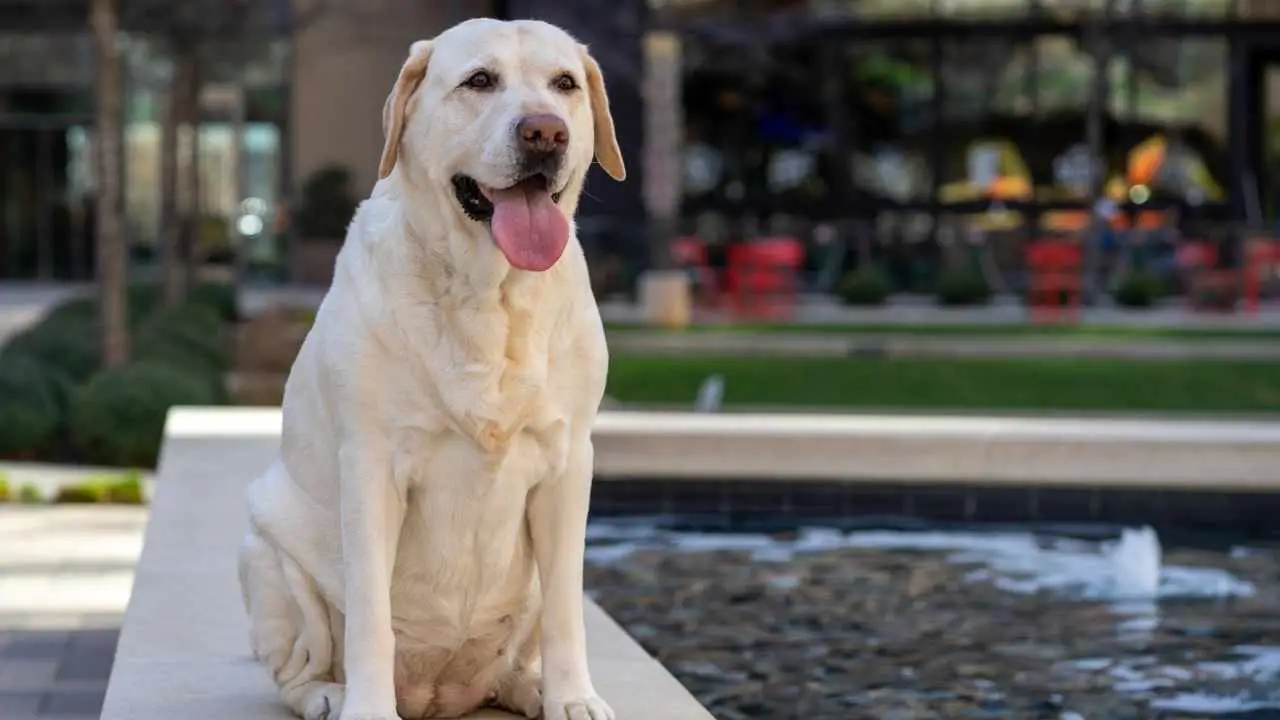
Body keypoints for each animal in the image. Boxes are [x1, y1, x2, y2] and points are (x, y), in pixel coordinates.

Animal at [239, 18, 624, 717]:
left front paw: (572, 698)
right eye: (479, 81)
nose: (545, 132)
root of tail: (438, 695)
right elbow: (369, 616)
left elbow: (566, 609)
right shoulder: (371, 466)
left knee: (522, 642)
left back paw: (527, 686)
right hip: (266, 549)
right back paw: (330, 695)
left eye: (565, 84)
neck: (490, 296)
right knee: (298, 667)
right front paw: (366, 708)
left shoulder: (567, 464)